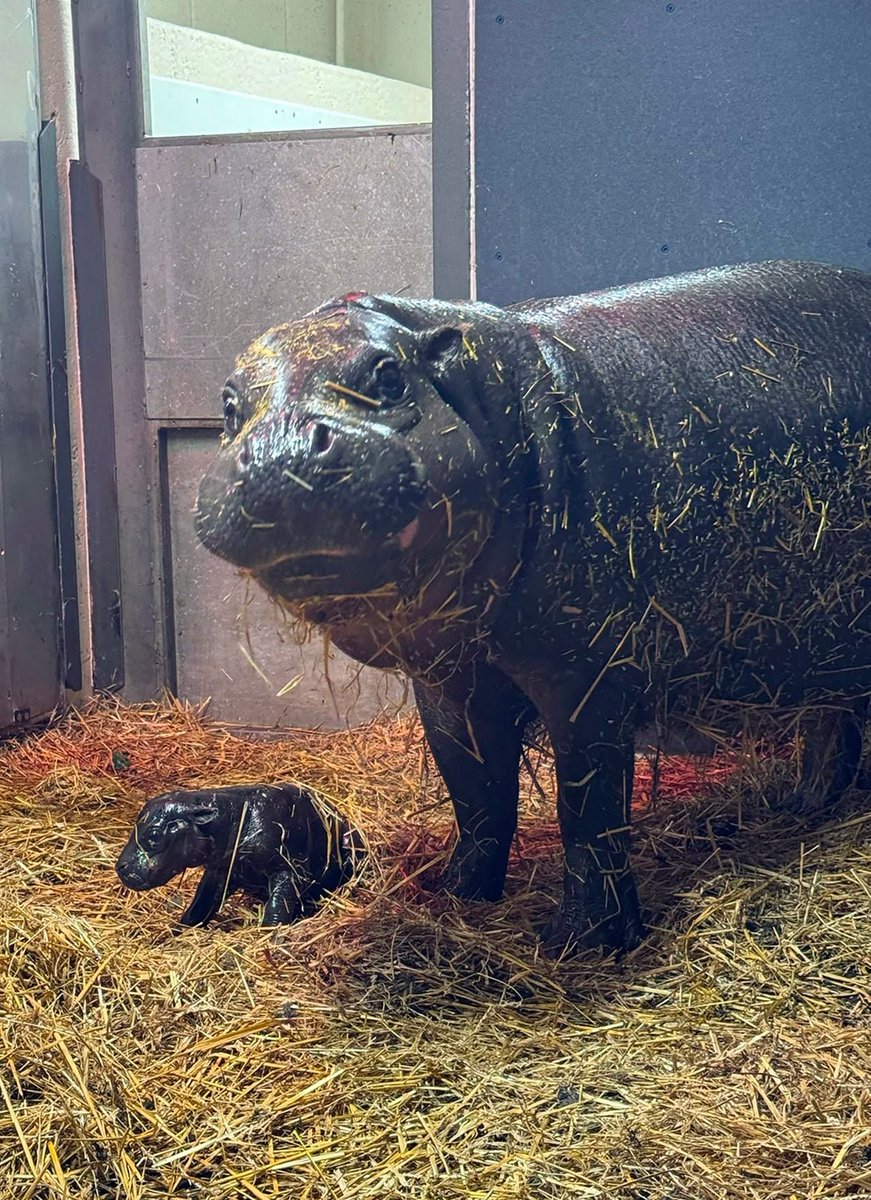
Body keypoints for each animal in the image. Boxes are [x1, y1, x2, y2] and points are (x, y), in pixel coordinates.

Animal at [116, 784, 365, 927]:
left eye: (154, 834)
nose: (120, 866)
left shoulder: (286, 871)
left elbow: (277, 907)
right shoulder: (221, 870)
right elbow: (200, 904)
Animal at [194, 260, 871, 955]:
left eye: (388, 375)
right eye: (229, 405)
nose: (279, 451)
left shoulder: (587, 677)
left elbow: (588, 808)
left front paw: (580, 942)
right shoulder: (449, 682)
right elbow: (476, 794)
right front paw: (457, 895)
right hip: (821, 642)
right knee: (833, 727)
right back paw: (799, 806)